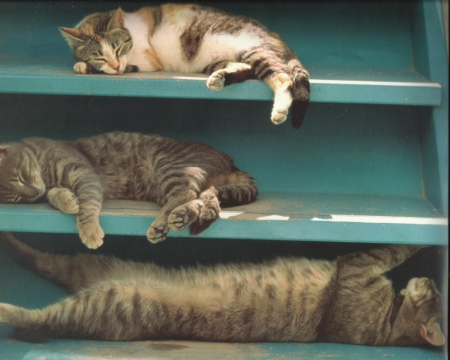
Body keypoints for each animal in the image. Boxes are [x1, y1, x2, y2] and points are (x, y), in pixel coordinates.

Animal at [0, 131, 258, 249]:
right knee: (198, 199)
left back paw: (161, 223)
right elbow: (57, 195)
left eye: (20, 176)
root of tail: (229, 160)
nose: (33, 194)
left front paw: (89, 230)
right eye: (17, 198)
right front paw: (66, 199)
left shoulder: (84, 174)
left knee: (185, 193)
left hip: (169, 165)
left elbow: (87, 208)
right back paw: (180, 217)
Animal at [0, 233, 444, 346]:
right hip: (97, 265)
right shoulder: (359, 269)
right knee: (45, 261)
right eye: (437, 288)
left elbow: (393, 247)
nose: (432, 279)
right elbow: (397, 249)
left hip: (109, 298)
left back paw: (9, 308)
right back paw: (13, 243)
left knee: (43, 316)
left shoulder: (356, 267)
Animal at [59, 3, 312, 128]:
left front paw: (83, 67)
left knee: (282, 77)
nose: (114, 65)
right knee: (247, 69)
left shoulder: (146, 61)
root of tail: (273, 34)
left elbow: (128, 66)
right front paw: (83, 64)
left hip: (254, 49)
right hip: (218, 61)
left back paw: (279, 110)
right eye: (99, 56)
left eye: (119, 48)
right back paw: (220, 78)